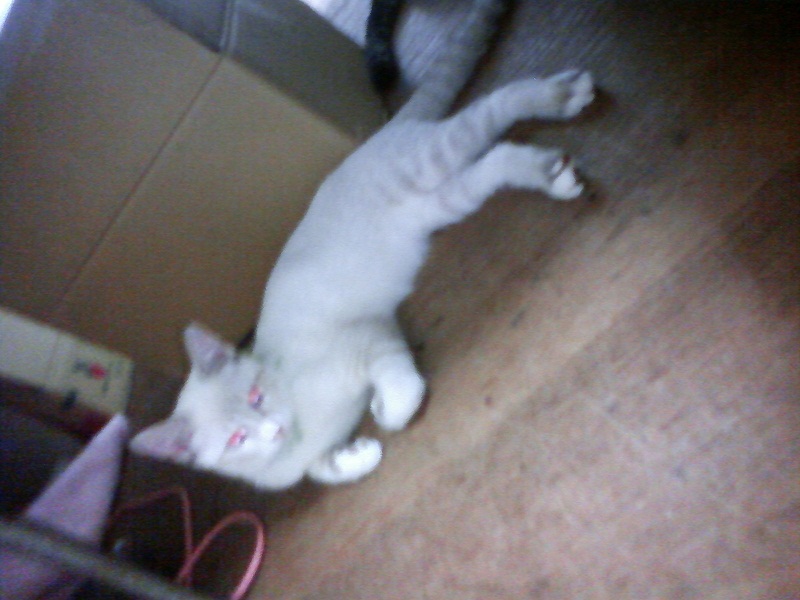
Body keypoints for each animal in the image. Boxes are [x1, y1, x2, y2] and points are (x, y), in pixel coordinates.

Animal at [130, 0, 595, 490]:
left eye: (256, 397)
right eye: (237, 439)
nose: (272, 428)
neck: (299, 429)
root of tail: (378, 135)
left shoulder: (369, 338)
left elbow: (403, 398)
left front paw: (381, 409)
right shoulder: (305, 462)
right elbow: (325, 472)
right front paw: (359, 453)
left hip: (431, 160)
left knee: (492, 109)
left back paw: (562, 96)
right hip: (442, 201)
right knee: (494, 161)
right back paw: (551, 172)